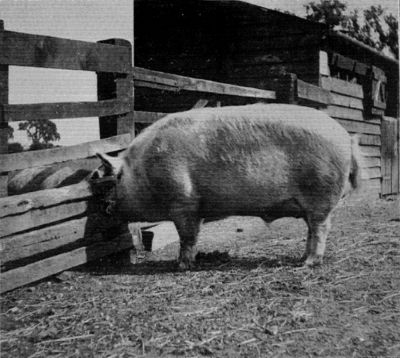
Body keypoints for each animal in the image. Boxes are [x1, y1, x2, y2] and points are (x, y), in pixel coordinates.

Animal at [95, 103, 364, 268]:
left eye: (116, 178)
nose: (105, 205)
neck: (144, 171)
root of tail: (346, 136)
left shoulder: (183, 202)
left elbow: (187, 236)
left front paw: (181, 265)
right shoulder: (195, 208)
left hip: (320, 195)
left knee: (321, 229)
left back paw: (309, 264)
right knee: (311, 230)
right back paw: (301, 258)